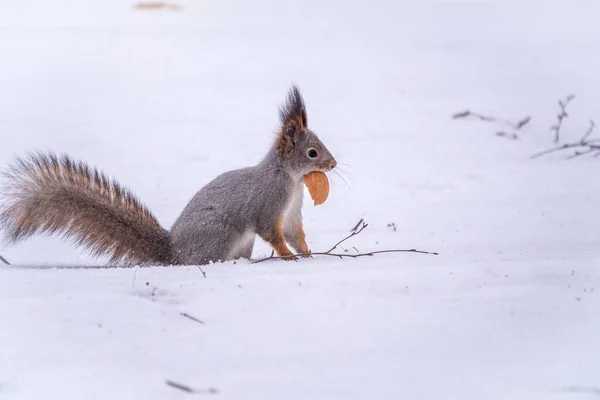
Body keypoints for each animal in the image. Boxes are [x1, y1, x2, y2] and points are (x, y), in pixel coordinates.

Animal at [0, 85, 338, 266]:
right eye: (312, 153)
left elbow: (294, 234)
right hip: (221, 233)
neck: (292, 180)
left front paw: (307, 253)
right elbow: (272, 230)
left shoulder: (291, 211)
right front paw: (288, 256)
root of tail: (174, 252)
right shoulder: (269, 202)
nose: (333, 164)